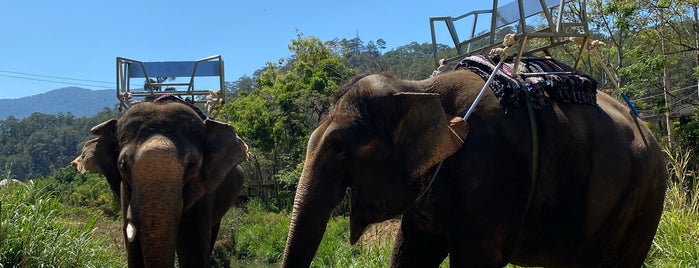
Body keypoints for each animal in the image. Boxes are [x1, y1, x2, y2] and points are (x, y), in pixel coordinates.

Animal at [280, 70, 668, 266]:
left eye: (338, 149)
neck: (420, 88)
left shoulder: (494, 168)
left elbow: (476, 260)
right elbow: (411, 249)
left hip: (646, 199)